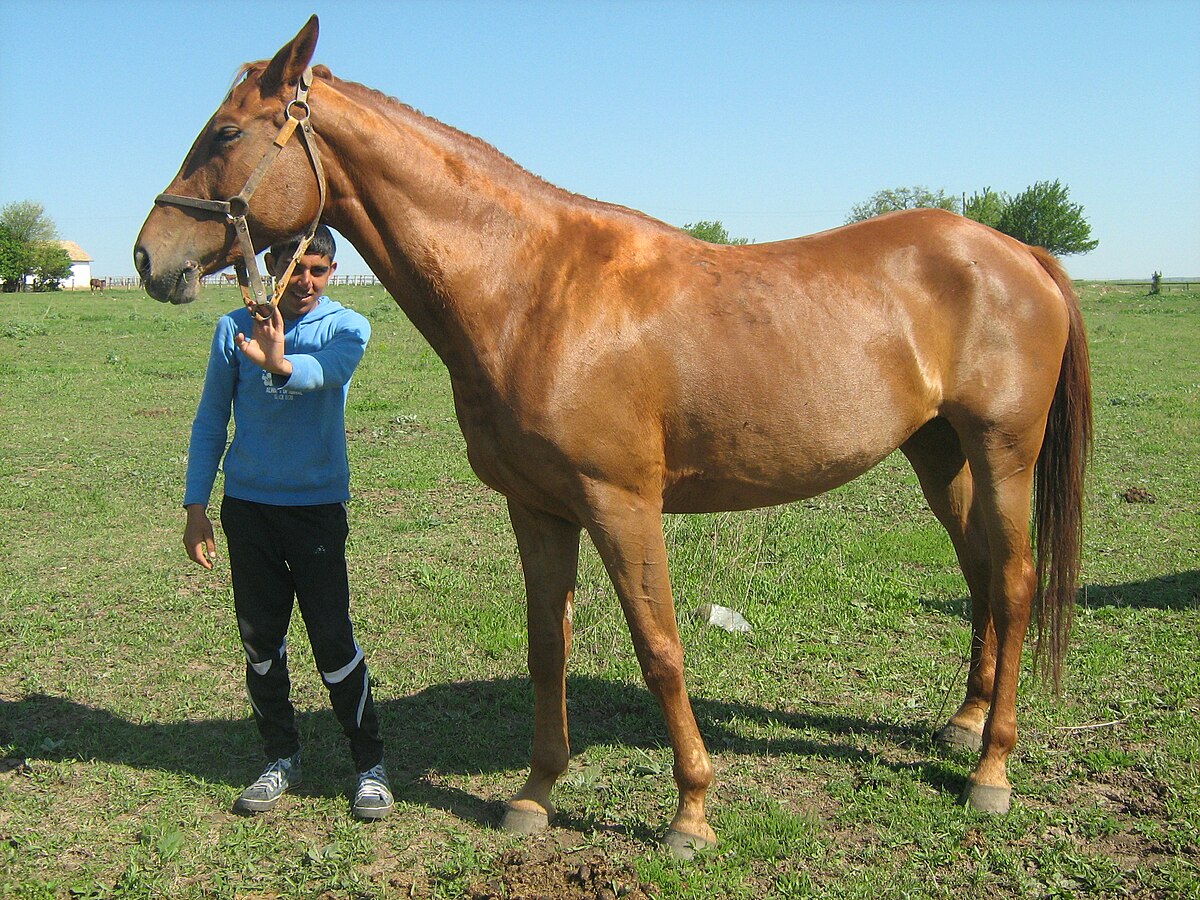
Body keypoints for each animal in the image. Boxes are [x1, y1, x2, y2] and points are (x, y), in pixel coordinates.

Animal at [131, 17, 1089, 854]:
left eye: (225, 131)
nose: (149, 258)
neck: (533, 289)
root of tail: (1017, 253)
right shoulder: (539, 509)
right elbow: (546, 647)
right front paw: (534, 796)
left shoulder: (622, 504)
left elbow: (660, 648)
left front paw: (691, 814)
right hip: (939, 453)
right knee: (979, 574)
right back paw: (964, 725)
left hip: (1002, 453)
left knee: (1013, 583)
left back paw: (992, 771)